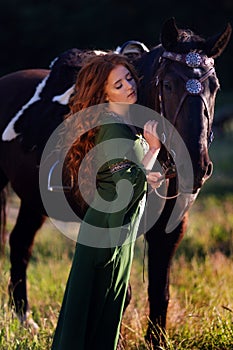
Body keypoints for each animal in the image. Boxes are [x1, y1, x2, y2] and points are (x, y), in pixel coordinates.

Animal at [0, 18, 231, 348]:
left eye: (215, 87)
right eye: (168, 84)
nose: (197, 166)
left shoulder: (170, 228)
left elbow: (159, 290)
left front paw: (156, 342)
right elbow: (121, 288)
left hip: (33, 200)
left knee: (20, 243)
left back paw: (25, 321)